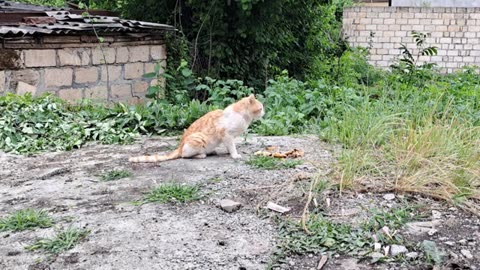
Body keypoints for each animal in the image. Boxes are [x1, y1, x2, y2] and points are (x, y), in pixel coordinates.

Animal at [129, 95, 264, 162]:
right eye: (261, 108)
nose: (264, 112)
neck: (244, 116)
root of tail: (179, 146)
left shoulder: (227, 138)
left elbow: (229, 146)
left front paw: (228, 152)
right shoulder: (226, 134)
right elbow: (231, 146)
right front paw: (234, 155)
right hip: (199, 138)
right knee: (184, 155)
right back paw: (201, 155)